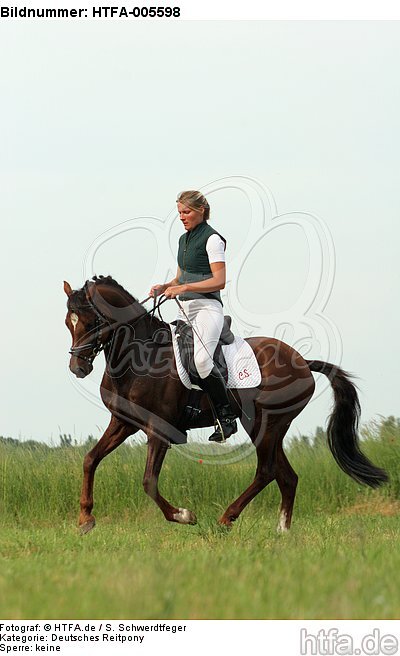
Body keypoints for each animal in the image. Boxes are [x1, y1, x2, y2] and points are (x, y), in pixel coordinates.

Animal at [63, 275, 388, 534]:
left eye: (92, 322)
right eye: (69, 323)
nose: (77, 367)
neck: (139, 357)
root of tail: (303, 362)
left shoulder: (159, 429)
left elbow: (148, 482)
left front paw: (184, 515)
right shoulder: (123, 422)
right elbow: (90, 459)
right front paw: (85, 519)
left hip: (264, 424)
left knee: (267, 471)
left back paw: (227, 518)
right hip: (270, 428)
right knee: (286, 476)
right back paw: (282, 530)